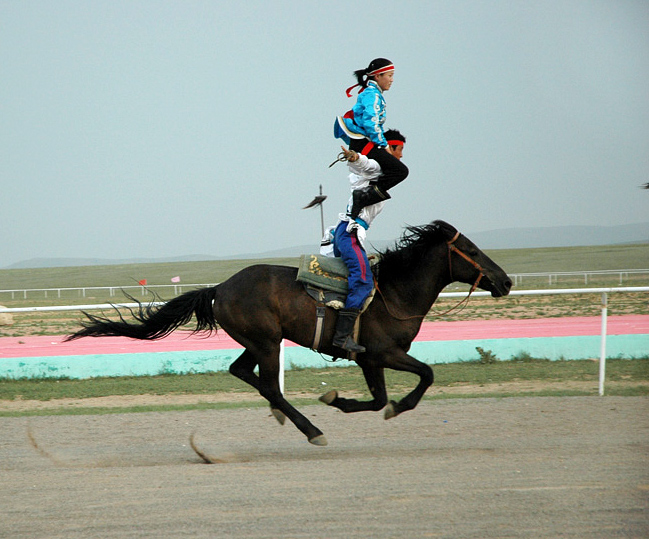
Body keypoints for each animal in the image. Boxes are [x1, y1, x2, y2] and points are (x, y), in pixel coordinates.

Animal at [66, 220, 512, 448]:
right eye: (472, 251)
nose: (505, 281)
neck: (393, 293)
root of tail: (220, 287)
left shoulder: (369, 360)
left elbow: (379, 397)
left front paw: (341, 400)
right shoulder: (381, 354)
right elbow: (424, 376)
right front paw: (391, 406)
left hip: (259, 342)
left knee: (242, 373)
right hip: (267, 342)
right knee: (268, 384)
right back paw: (311, 430)